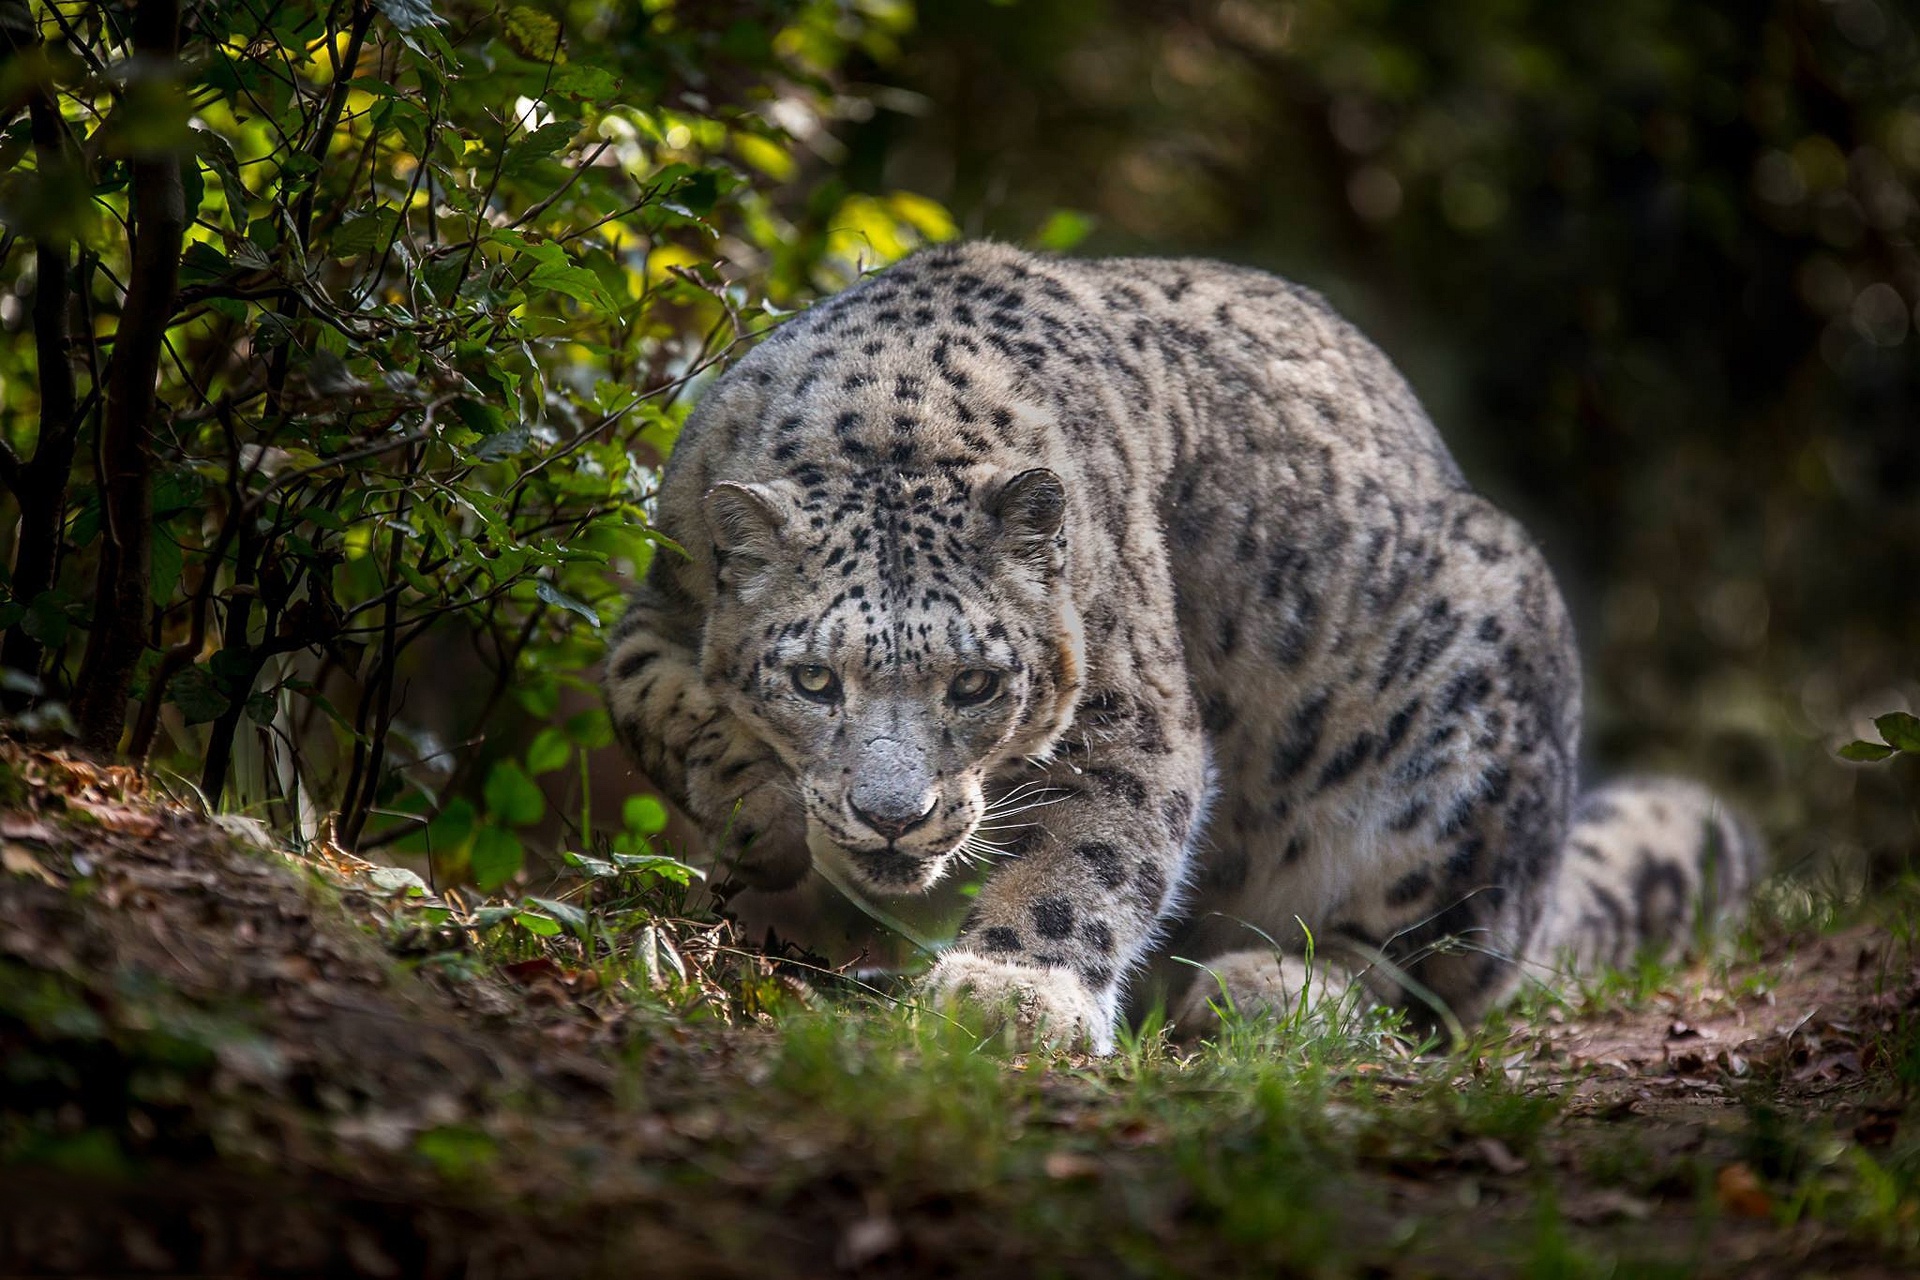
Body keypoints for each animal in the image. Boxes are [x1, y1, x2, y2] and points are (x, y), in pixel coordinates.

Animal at [599, 239, 1758, 1051]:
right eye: (811, 677)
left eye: (975, 683)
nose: (892, 816)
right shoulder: (660, 598)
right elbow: (646, 693)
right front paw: (758, 810)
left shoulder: (1132, 709)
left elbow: (1094, 851)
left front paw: (1008, 994)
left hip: (1460, 756)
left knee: (1436, 969)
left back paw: (1268, 984)